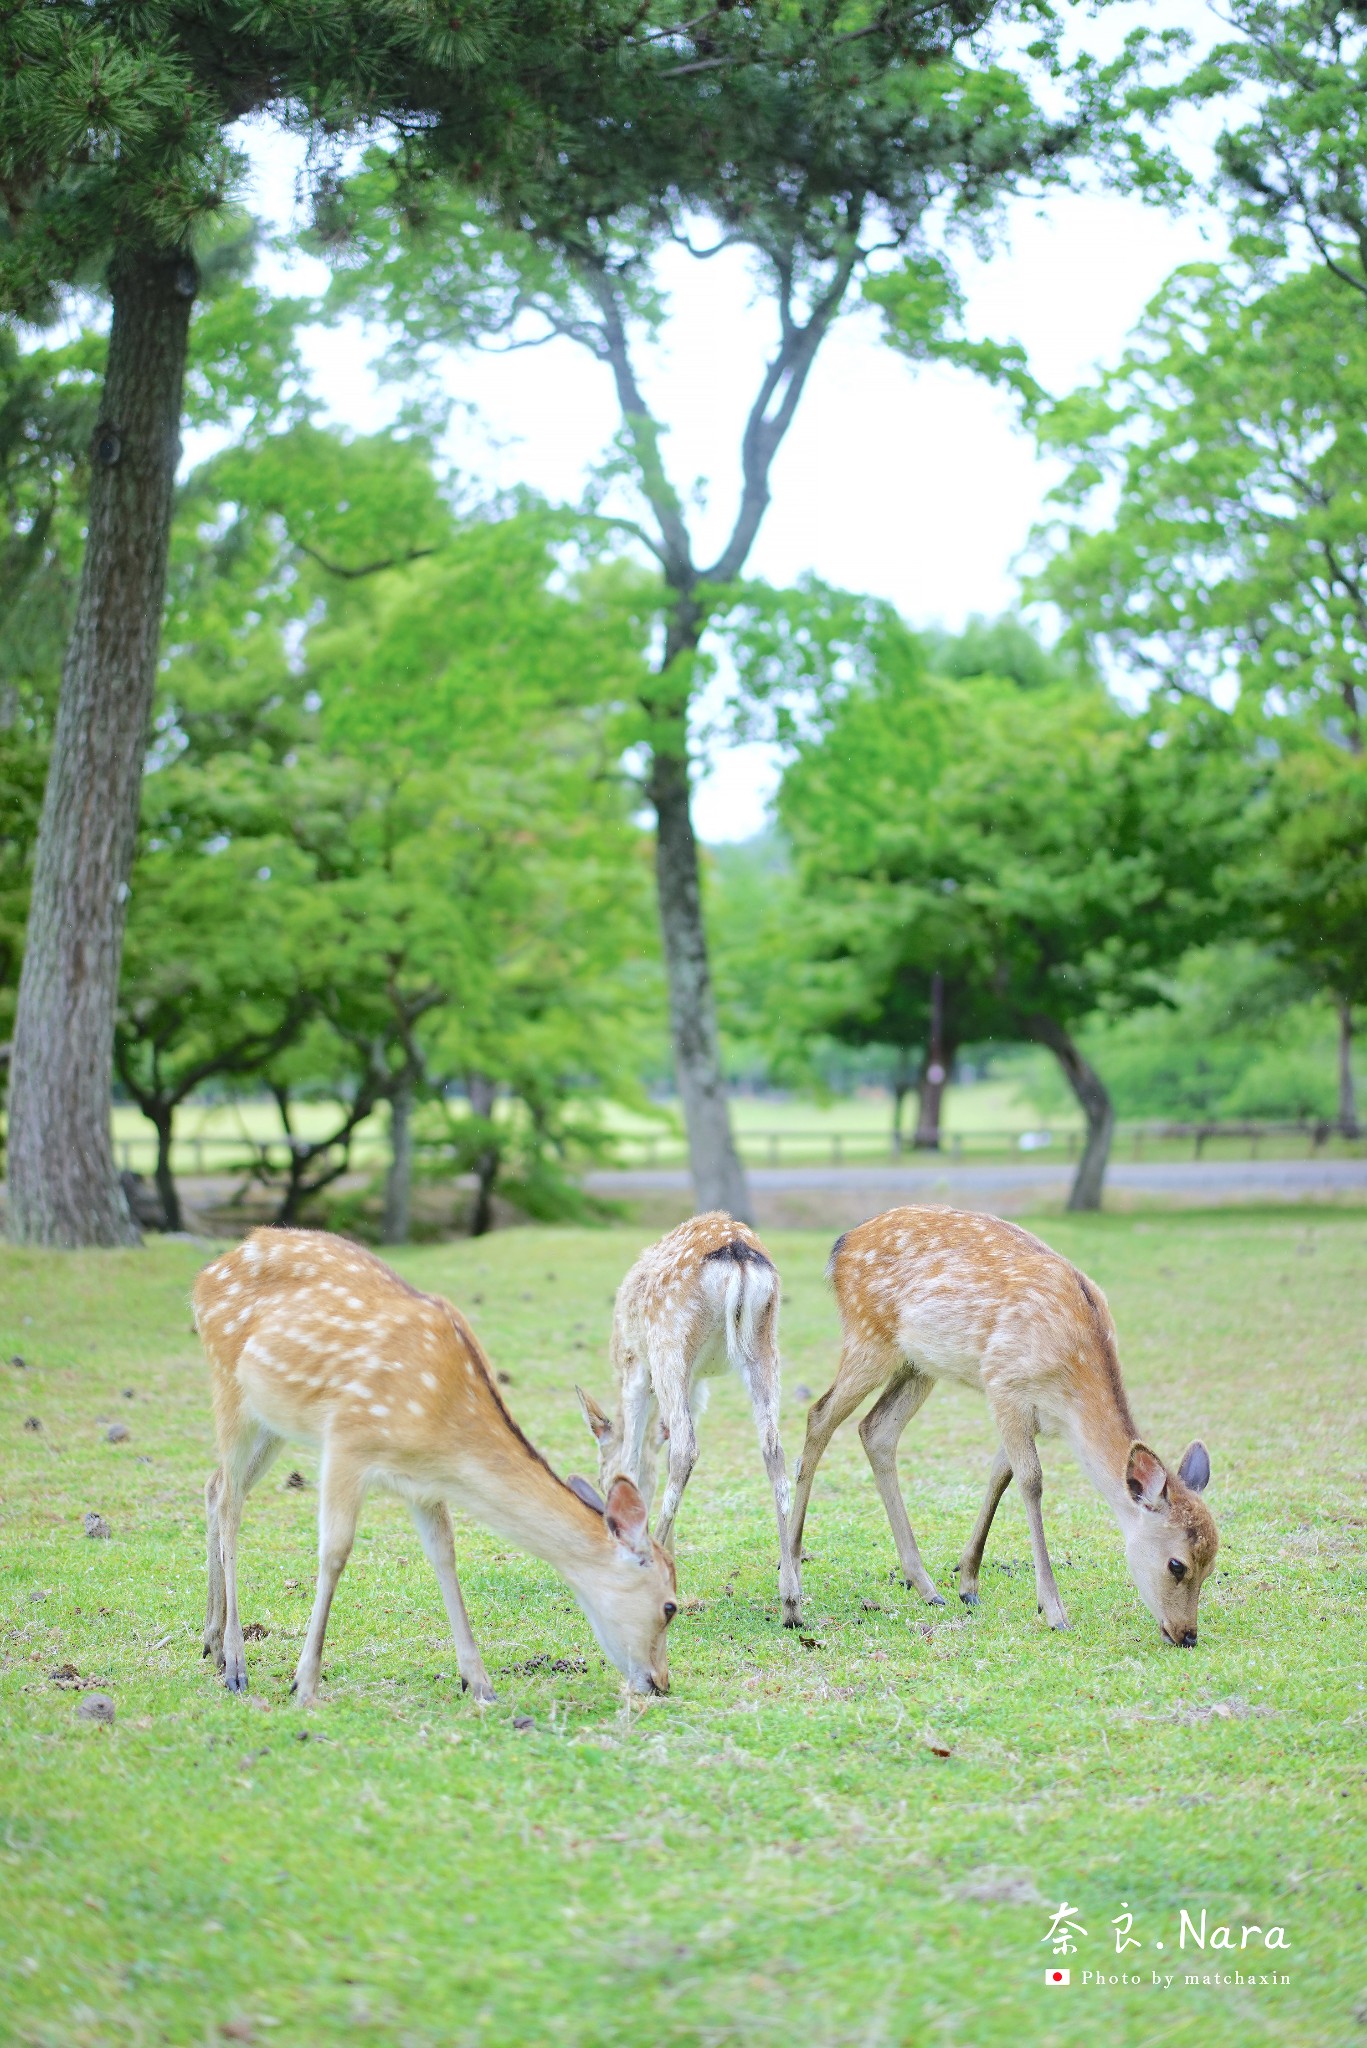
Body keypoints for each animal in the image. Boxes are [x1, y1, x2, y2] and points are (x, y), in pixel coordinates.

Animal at [192, 1220, 680, 1703]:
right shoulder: (347, 1443)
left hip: (272, 1419)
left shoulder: (423, 1484)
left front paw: (479, 1683)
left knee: (216, 1486)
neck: (442, 1433)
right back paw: (235, 1664)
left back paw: (211, 1643)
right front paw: (305, 1684)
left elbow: (444, 1554)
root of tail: (207, 1273)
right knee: (232, 1502)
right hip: (227, 1386)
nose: (660, 1682)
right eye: (670, 1606)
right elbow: (334, 1552)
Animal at [569, 1204, 803, 1622]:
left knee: (685, 1448)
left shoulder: (633, 1365)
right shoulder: (696, 1382)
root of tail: (737, 1251)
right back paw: (791, 1599)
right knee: (772, 1449)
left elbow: (633, 1459)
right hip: (765, 1344)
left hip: (669, 1344)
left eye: (601, 1479)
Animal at [786, 1204, 1221, 1638]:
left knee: (876, 1429)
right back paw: (791, 1577)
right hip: (868, 1335)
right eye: (1177, 1564)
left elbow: (1001, 1473)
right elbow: (1030, 1480)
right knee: (819, 1415)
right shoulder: (1005, 1385)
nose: (1187, 1635)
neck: (1069, 1398)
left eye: (1212, 1565)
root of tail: (841, 1246)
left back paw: (925, 1586)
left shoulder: (1028, 1412)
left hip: (918, 1364)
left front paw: (967, 1583)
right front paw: (1053, 1610)